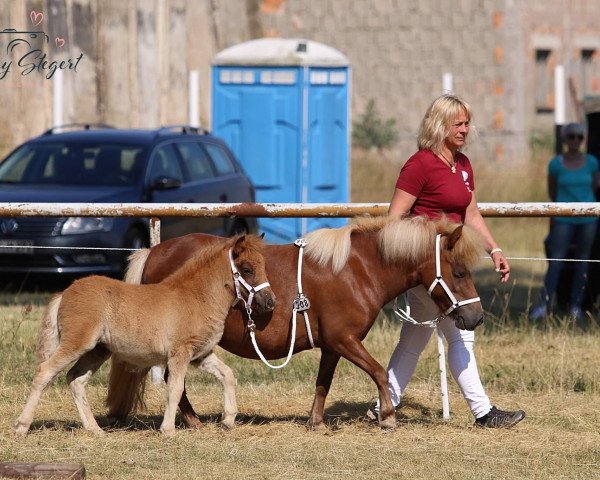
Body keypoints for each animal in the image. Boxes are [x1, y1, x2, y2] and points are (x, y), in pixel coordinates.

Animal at [15, 234, 274, 436]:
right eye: (247, 269)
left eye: (263, 265)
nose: (270, 302)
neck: (196, 298)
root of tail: (64, 292)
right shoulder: (180, 353)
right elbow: (175, 388)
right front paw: (168, 429)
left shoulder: (201, 354)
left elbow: (227, 375)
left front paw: (228, 421)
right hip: (77, 343)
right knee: (45, 371)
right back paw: (21, 426)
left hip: (99, 350)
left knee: (76, 379)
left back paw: (94, 429)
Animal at [106, 216, 482, 430]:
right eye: (459, 272)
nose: (475, 317)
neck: (358, 269)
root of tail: (153, 252)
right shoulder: (345, 339)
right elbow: (378, 372)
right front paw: (388, 416)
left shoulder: (332, 345)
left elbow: (323, 382)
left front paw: (315, 421)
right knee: (175, 380)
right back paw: (192, 420)